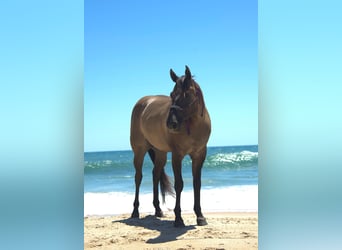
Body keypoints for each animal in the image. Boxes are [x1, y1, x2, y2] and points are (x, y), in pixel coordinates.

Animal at [130, 65, 211, 228]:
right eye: (172, 94)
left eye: (187, 95)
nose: (171, 123)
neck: (193, 126)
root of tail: (143, 102)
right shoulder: (177, 155)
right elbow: (179, 184)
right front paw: (178, 219)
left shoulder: (199, 155)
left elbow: (197, 184)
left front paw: (200, 216)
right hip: (139, 151)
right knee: (138, 177)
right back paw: (135, 211)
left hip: (160, 153)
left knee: (155, 175)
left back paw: (158, 210)